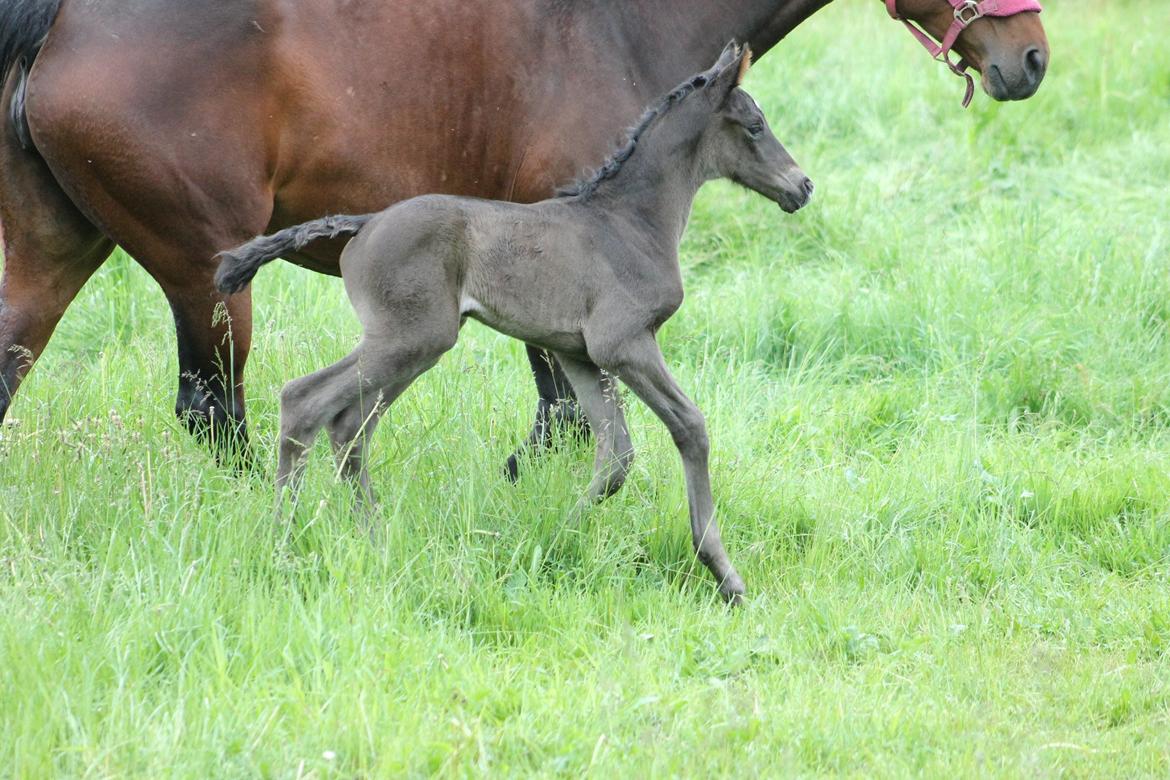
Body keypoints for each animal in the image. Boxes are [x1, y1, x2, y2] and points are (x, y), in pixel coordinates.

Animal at [215, 42, 809, 603]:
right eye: (755, 126)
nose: (802, 187)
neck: (629, 222)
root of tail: (364, 224)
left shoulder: (579, 354)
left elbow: (616, 455)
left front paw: (558, 534)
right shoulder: (625, 344)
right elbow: (690, 427)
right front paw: (725, 575)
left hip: (412, 346)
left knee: (349, 426)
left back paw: (373, 538)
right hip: (410, 338)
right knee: (304, 402)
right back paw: (284, 540)